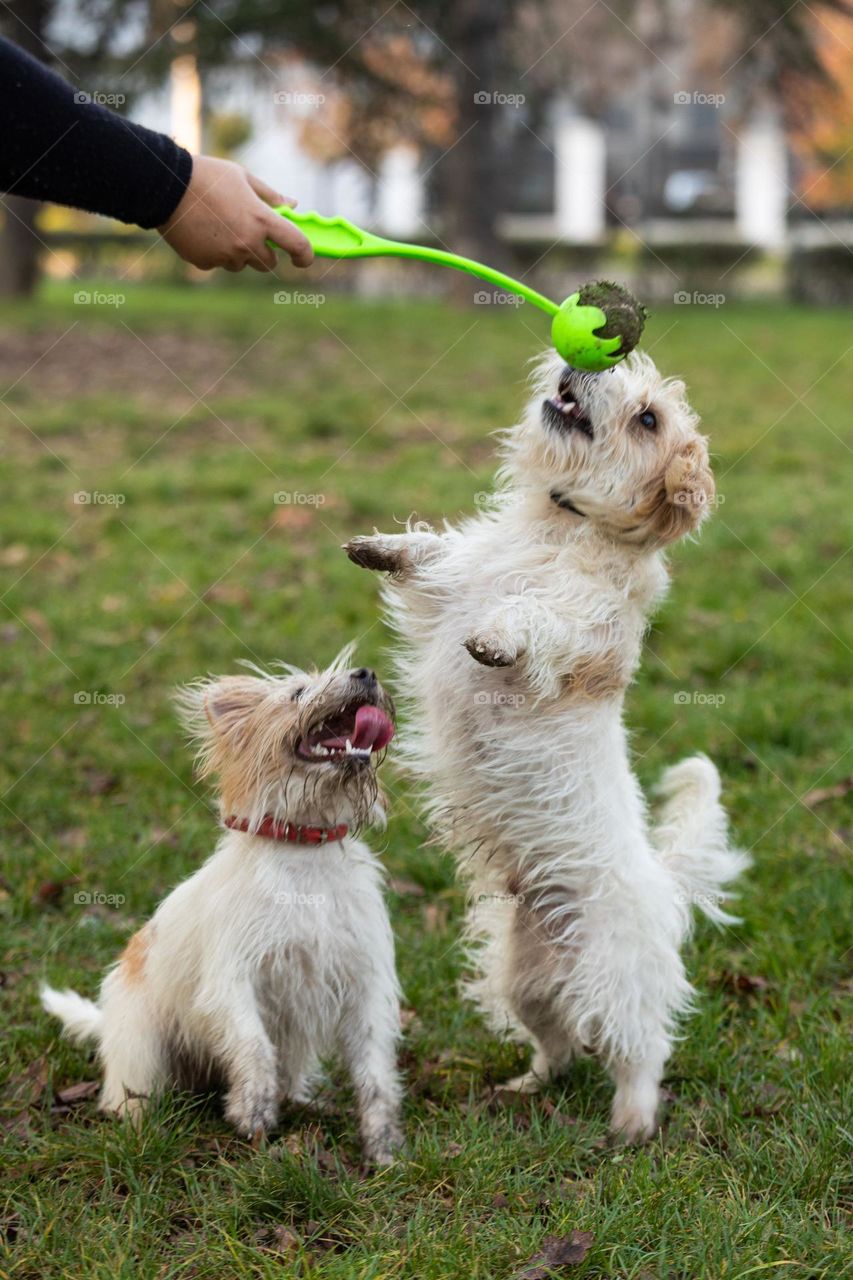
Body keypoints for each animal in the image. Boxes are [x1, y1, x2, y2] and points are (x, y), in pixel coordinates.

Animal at [41, 655, 407, 1167]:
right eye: (298, 692)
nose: (366, 675)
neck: (305, 853)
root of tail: (107, 1024)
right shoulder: (231, 981)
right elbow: (253, 1045)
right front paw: (253, 1110)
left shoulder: (365, 986)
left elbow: (375, 1074)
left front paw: (383, 1147)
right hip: (141, 1046)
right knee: (131, 1094)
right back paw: (138, 1128)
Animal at [343, 348, 742, 1141]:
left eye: (647, 418)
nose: (584, 361)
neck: (559, 526)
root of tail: (664, 889)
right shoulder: (450, 587)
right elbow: (431, 555)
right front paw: (379, 547)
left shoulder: (573, 628)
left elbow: (532, 614)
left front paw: (496, 636)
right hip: (523, 979)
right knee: (556, 1043)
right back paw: (525, 1085)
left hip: (618, 986)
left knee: (641, 1053)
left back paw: (630, 1124)